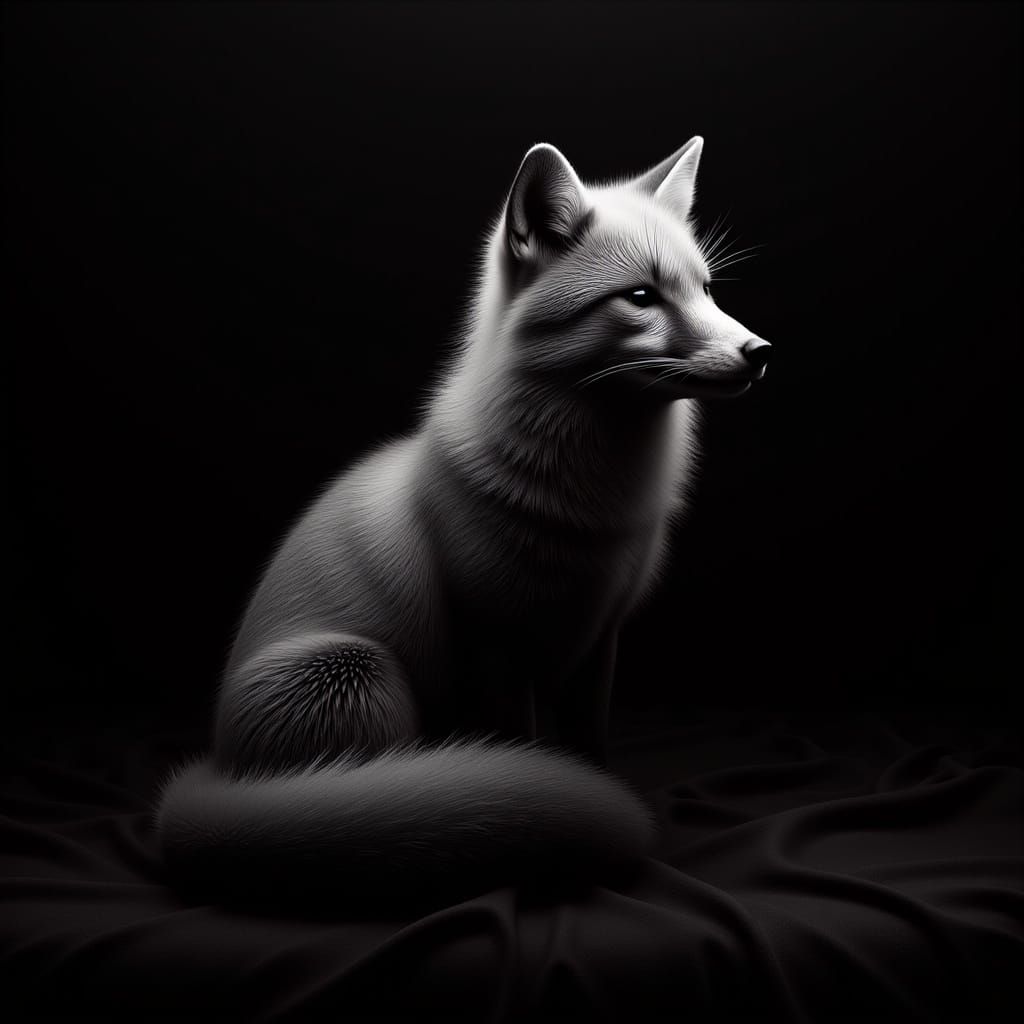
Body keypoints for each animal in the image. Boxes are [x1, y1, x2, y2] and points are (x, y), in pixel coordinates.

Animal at [156, 137, 770, 909]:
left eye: (707, 289)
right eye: (640, 296)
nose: (760, 352)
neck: (589, 508)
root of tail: (221, 766)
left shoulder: (599, 640)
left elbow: (589, 747)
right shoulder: (494, 645)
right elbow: (524, 745)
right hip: (357, 673)